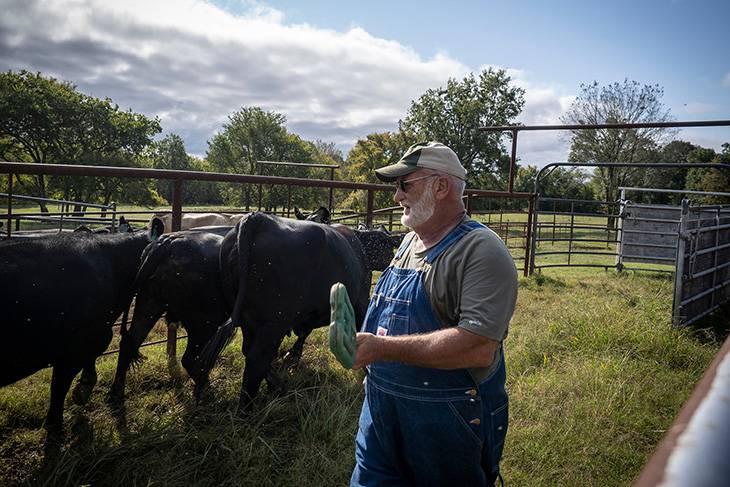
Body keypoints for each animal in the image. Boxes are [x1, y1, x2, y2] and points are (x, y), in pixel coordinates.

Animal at [107, 227, 230, 406]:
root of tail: (167, 242)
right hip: (204, 323)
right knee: (190, 359)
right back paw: (206, 389)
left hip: (149, 304)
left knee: (129, 342)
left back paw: (116, 394)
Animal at [195, 214, 398, 416]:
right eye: (384, 244)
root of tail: (258, 218)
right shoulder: (361, 301)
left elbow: (303, 333)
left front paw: (292, 356)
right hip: (274, 321)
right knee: (256, 358)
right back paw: (247, 410)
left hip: (248, 319)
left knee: (249, 351)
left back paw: (275, 386)